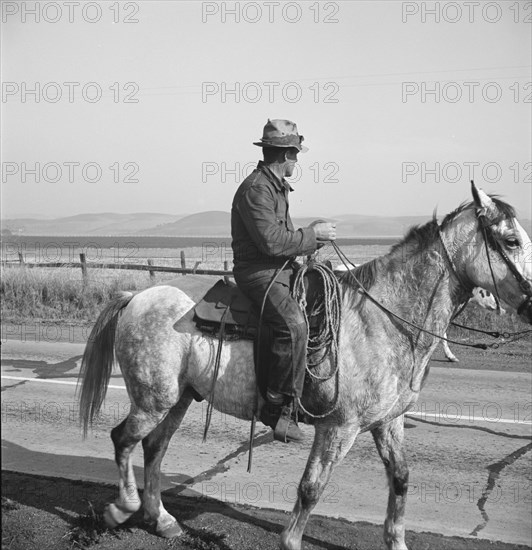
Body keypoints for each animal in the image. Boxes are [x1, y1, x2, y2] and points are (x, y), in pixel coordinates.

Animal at [77, 185, 528, 550]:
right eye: (510, 240)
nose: (531, 301)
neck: (381, 319)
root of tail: (136, 296)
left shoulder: (389, 422)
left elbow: (400, 478)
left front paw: (396, 540)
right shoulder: (338, 428)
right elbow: (311, 488)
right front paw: (290, 541)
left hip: (181, 397)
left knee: (153, 448)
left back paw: (163, 519)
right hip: (153, 399)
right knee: (123, 439)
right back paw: (123, 507)